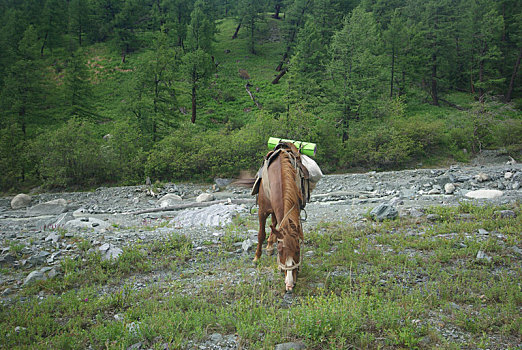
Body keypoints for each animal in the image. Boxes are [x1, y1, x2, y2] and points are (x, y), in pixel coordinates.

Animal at [251, 142, 302, 292]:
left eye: (298, 251)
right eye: (280, 252)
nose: (290, 284)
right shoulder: (262, 211)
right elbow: (261, 234)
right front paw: (257, 258)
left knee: (274, 224)